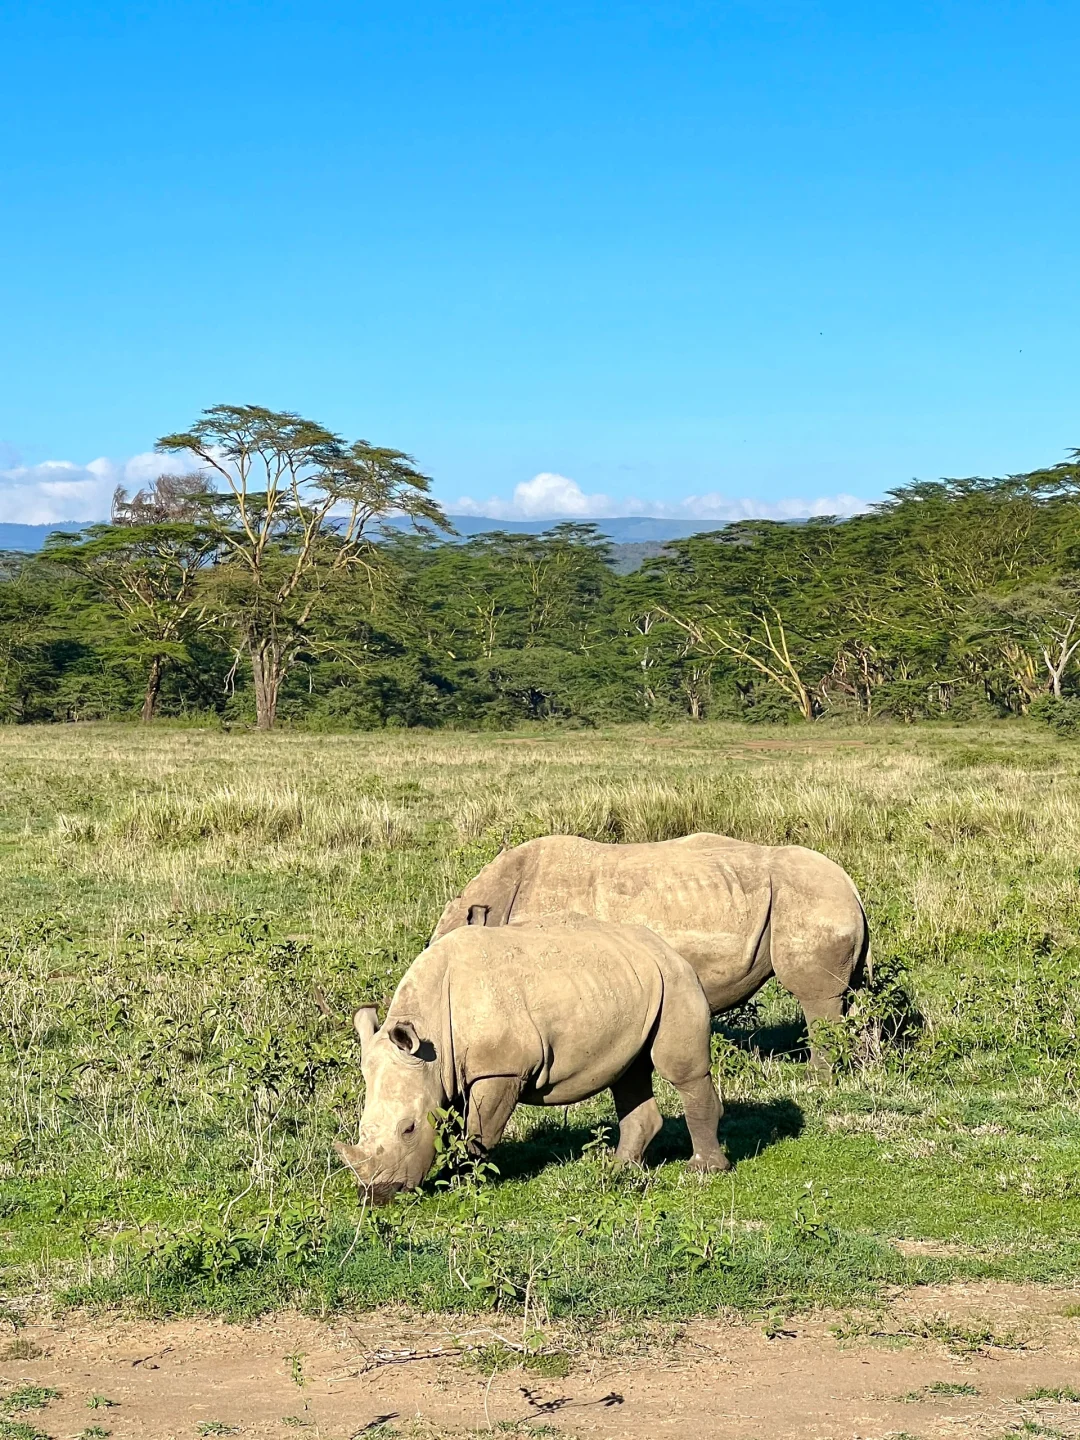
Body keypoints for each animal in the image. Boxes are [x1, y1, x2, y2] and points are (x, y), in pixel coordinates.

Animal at [336, 910, 728, 1203]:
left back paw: (703, 1171)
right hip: (632, 985)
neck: (429, 1030)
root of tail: (664, 945)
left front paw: (462, 1182)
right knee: (629, 1074)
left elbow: (478, 1130)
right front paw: (452, 1178)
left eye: (409, 1129)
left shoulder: (501, 1069)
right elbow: (458, 1128)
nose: (376, 1195)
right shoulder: (448, 1071)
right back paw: (618, 1169)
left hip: (676, 980)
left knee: (681, 1072)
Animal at [432, 835, 869, 1059]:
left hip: (810, 898)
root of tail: (851, 885)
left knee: (818, 997)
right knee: (854, 992)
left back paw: (819, 1079)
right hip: (825, 900)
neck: (494, 903)